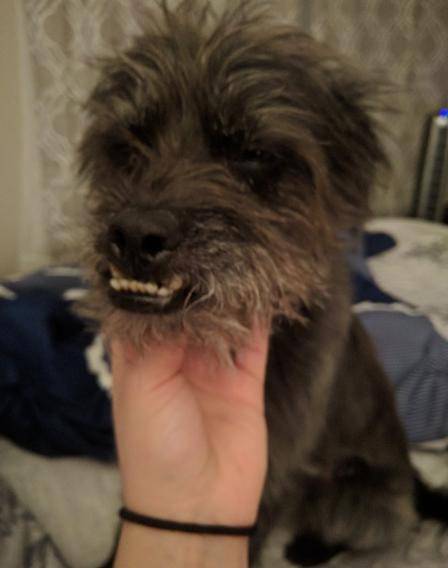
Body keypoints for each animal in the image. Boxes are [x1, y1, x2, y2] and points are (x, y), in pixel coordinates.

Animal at [78, 1, 448, 565]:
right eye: (127, 145)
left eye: (251, 154)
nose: (133, 235)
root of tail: (412, 482)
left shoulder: (272, 472)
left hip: (359, 497)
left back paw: (312, 546)